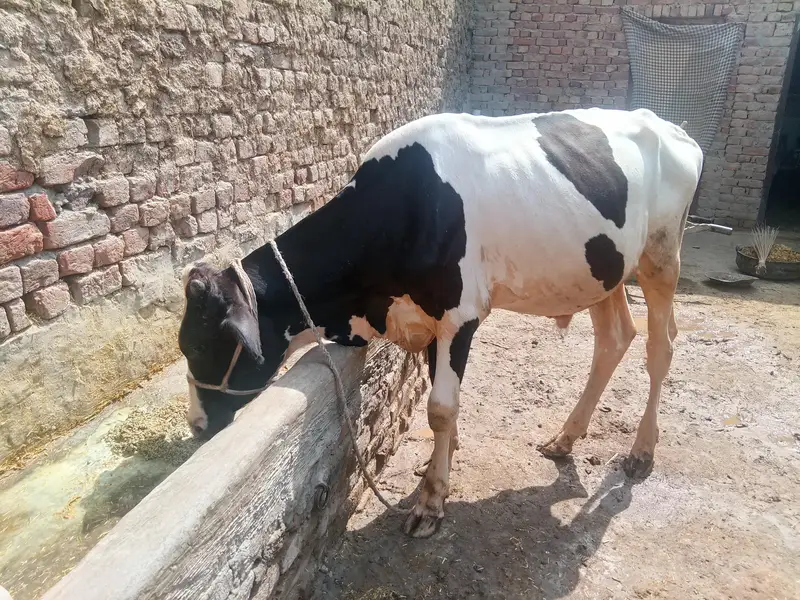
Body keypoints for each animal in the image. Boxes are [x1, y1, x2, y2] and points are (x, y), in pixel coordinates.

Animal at [178, 107, 703, 538]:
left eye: (198, 347)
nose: (198, 425)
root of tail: (669, 125)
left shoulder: (460, 316)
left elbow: (440, 408)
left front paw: (430, 501)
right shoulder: (428, 320)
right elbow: (439, 394)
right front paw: (440, 469)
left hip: (662, 257)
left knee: (661, 346)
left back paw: (641, 452)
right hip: (603, 272)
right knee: (614, 339)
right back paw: (564, 438)